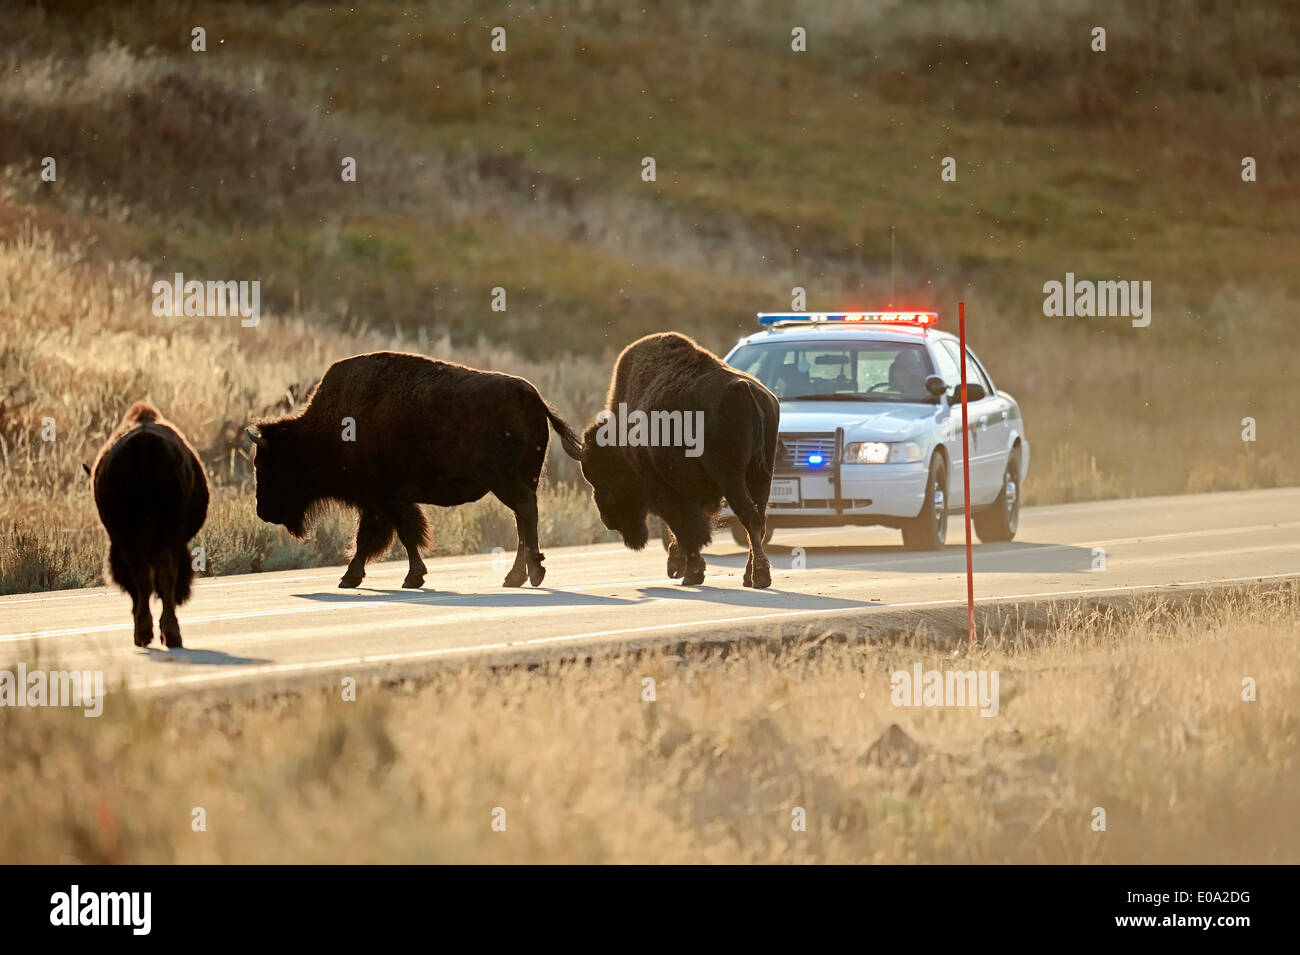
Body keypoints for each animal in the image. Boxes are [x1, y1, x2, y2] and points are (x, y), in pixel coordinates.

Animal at [86, 400, 210, 647]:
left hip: (135, 536)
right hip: (157, 534)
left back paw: (150, 633)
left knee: (146, 575)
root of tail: (144, 444)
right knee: (156, 574)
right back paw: (166, 634)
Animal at [245, 350, 582, 589]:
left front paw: (375, 578)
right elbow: (387, 536)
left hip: (504, 478)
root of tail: (529, 394)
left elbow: (392, 535)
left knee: (524, 510)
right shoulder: (383, 502)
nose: (263, 511)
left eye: (267, 464)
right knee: (522, 518)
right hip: (525, 475)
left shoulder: (382, 499)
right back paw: (515, 577)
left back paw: (533, 573)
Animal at [582, 335, 780, 589]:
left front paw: (690, 573)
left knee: (749, 518)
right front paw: (681, 567)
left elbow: (683, 528)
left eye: (606, 476)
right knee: (760, 521)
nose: (608, 520)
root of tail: (743, 389)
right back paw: (749, 576)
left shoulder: (664, 490)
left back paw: (759, 576)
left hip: (731, 478)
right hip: (762, 476)